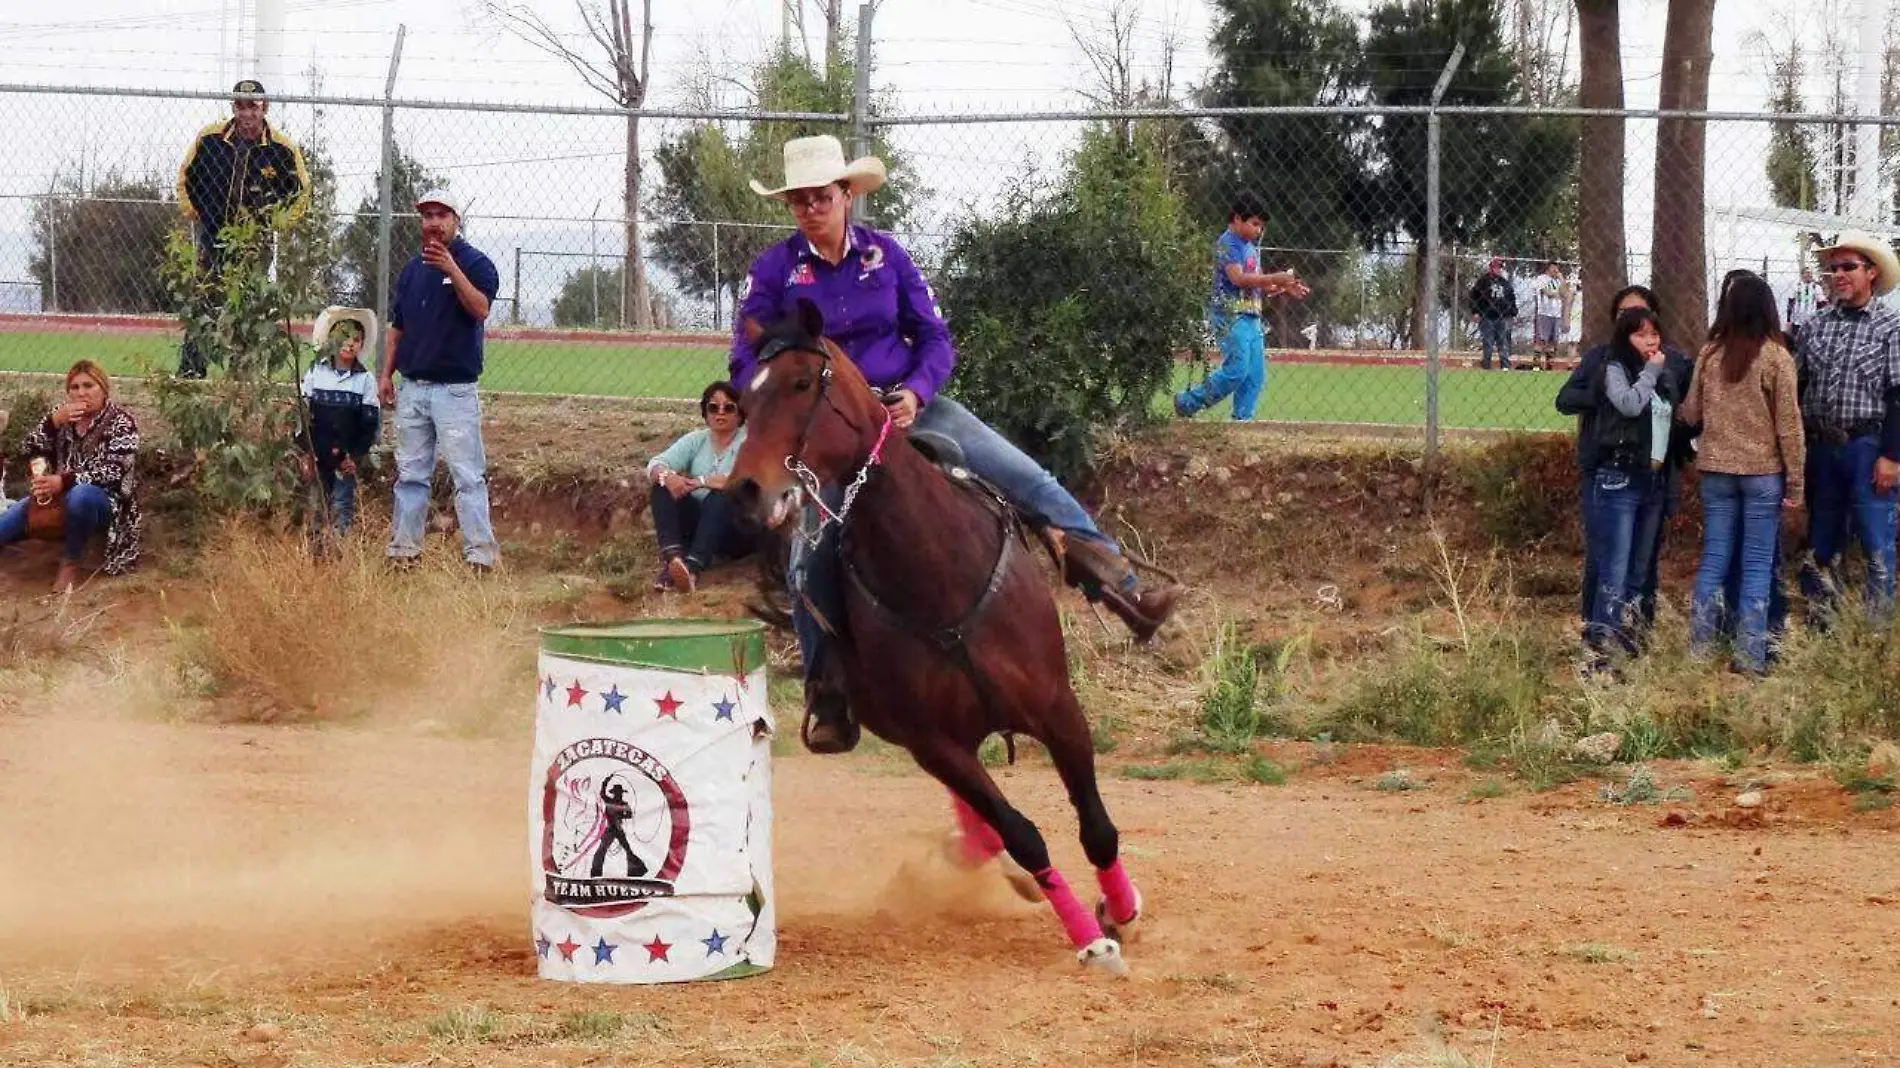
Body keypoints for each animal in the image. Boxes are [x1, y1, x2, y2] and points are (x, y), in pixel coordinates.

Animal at [725, 300, 1140, 972]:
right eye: (742, 397)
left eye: (800, 383)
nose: (746, 489)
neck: (938, 574)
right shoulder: (932, 743)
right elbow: (1024, 835)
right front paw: (1089, 937)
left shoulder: (1059, 709)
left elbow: (1096, 827)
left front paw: (1121, 910)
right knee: (984, 821)